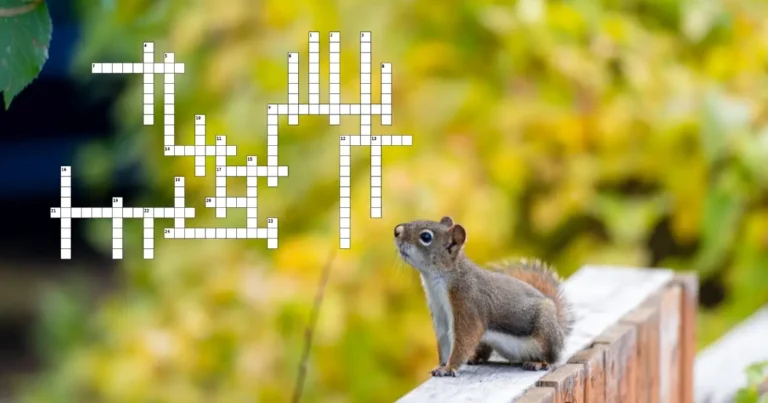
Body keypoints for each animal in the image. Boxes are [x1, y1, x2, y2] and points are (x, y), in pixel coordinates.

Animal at [393, 216, 574, 377]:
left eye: (426, 237)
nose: (396, 230)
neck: (439, 279)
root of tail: (558, 327)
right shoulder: (440, 314)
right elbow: (444, 342)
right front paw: (441, 365)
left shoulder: (468, 304)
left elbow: (464, 339)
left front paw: (449, 368)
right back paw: (474, 358)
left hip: (545, 331)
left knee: (552, 357)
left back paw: (539, 362)